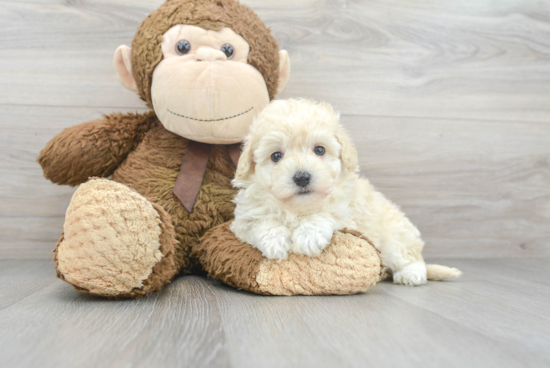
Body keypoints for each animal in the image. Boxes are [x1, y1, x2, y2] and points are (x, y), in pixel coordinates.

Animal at [231, 99, 464, 286]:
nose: (302, 177)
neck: (298, 208)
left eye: (319, 150)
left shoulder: (348, 212)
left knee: (412, 259)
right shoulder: (243, 220)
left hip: (394, 238)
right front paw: (275, 241)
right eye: (276, 156)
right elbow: (261, 222)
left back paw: (410, 274)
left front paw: (308, 236)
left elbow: (326, 214)